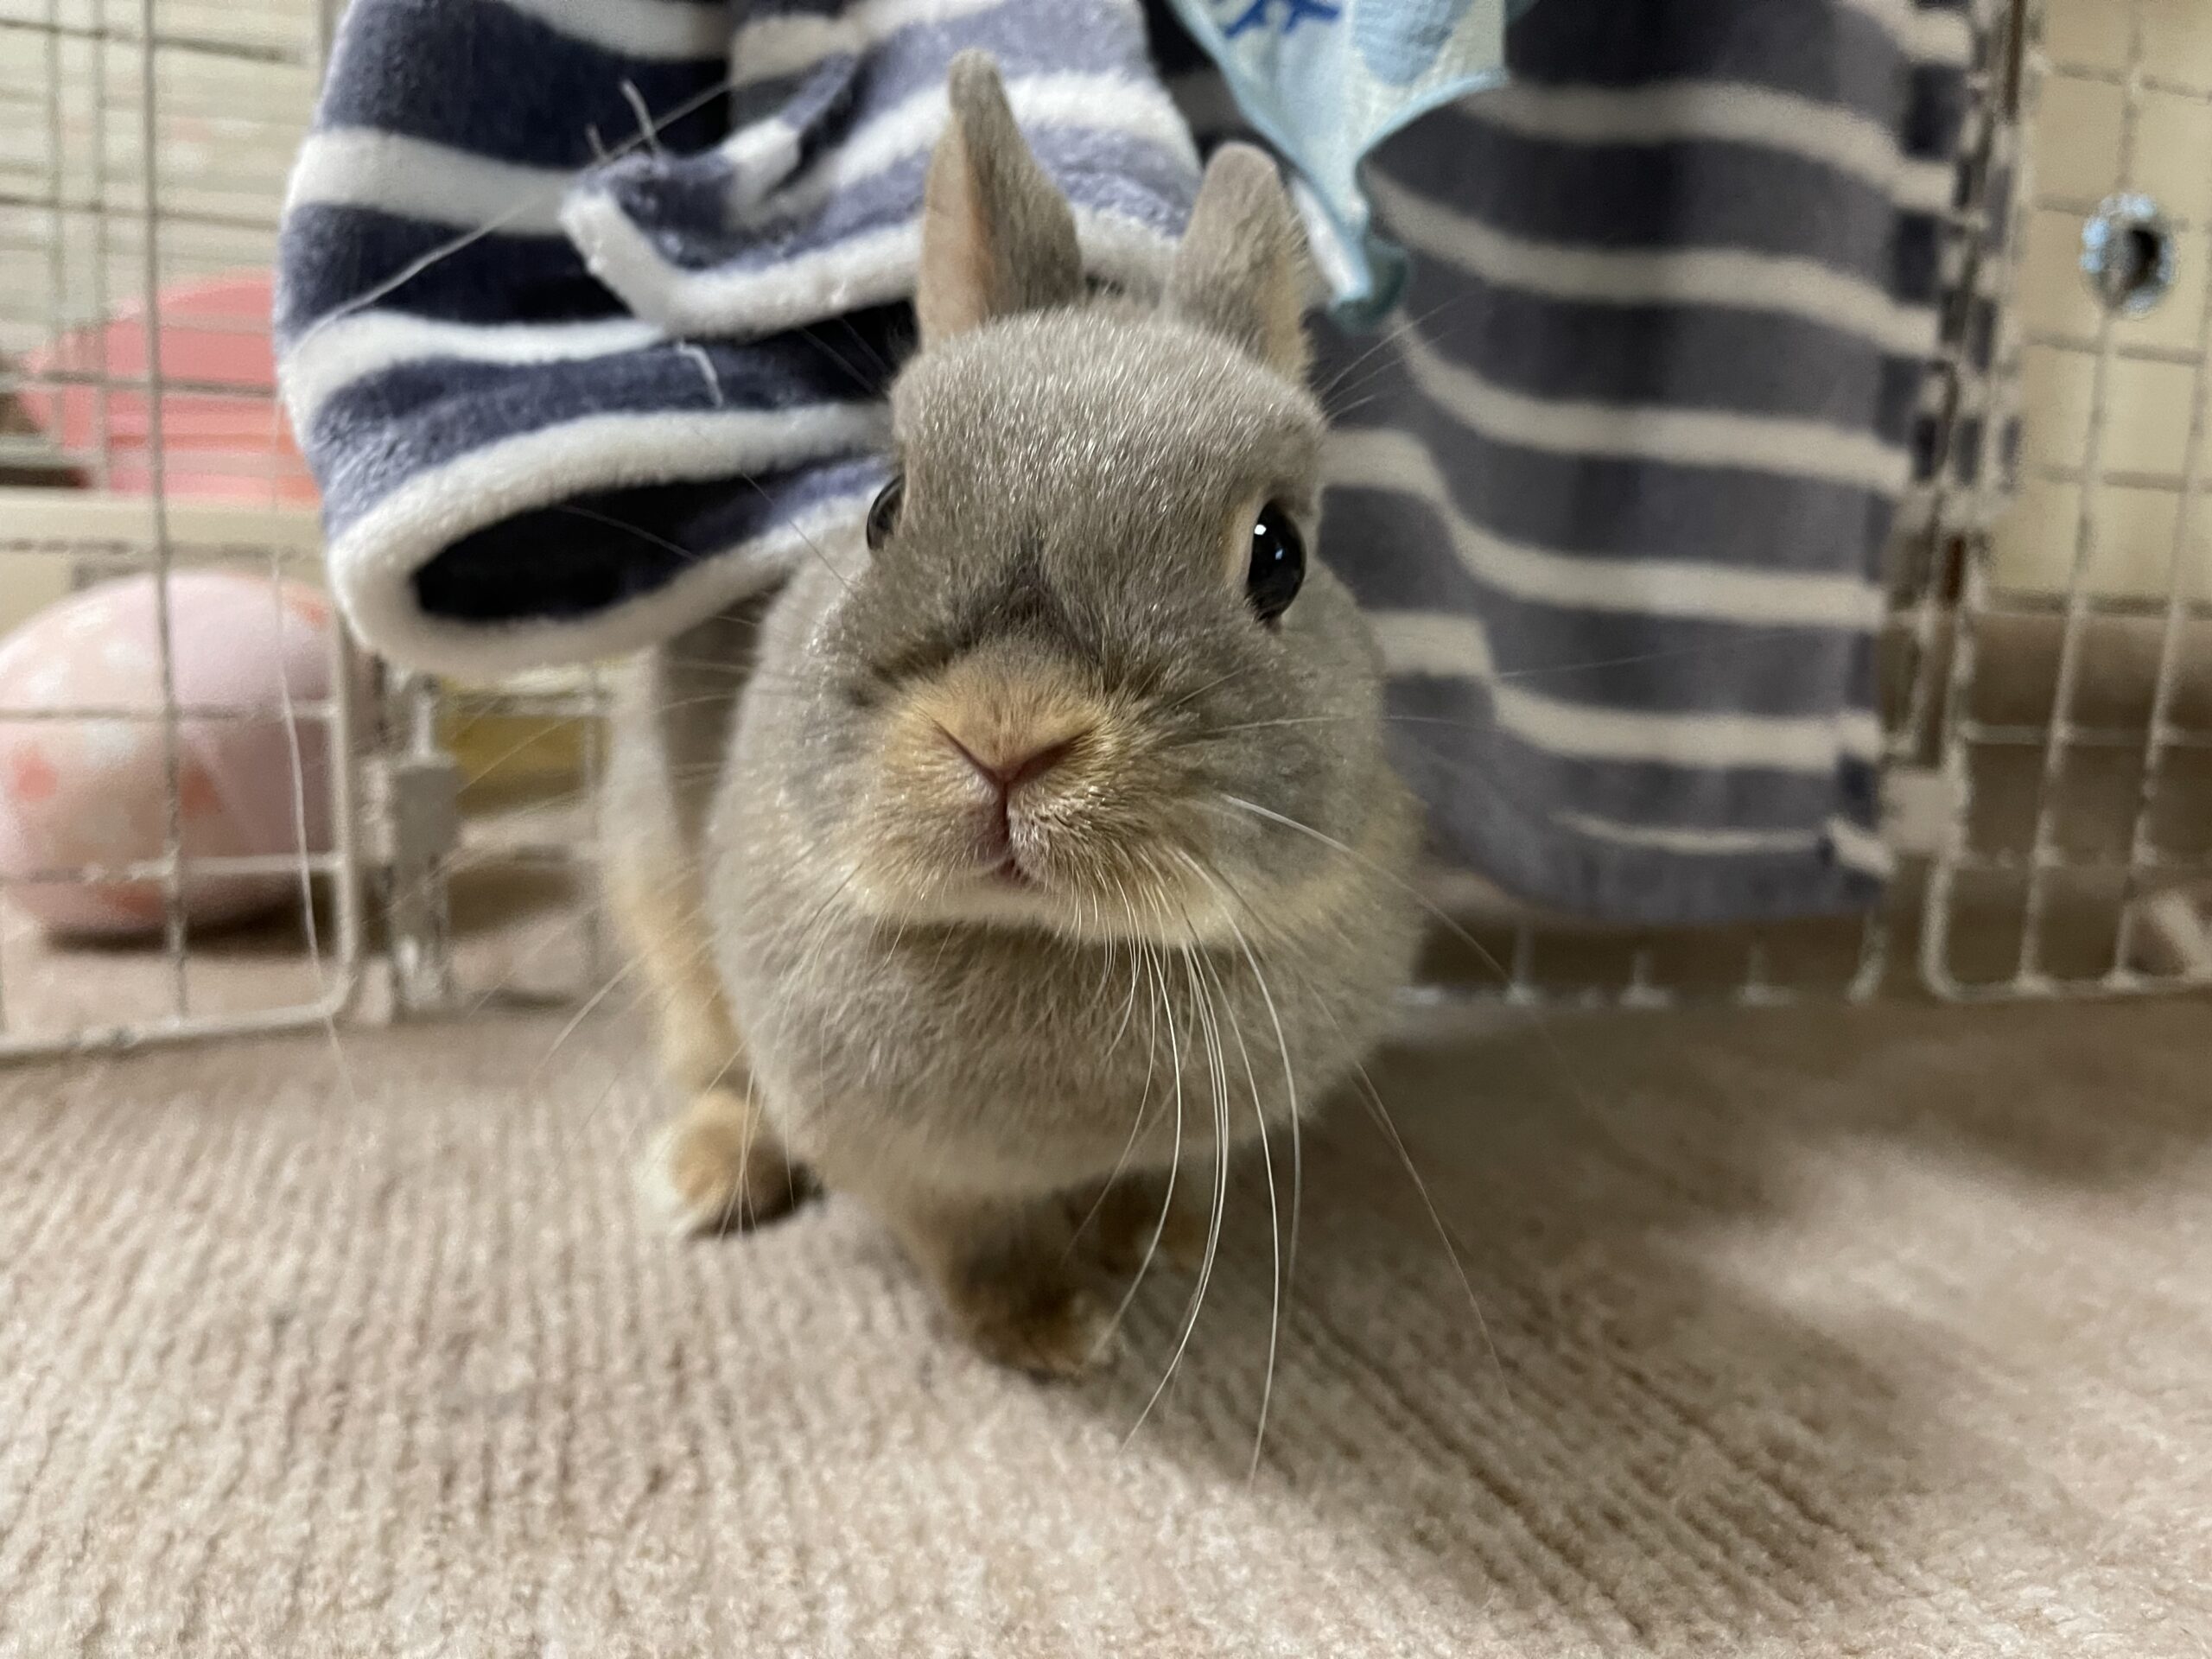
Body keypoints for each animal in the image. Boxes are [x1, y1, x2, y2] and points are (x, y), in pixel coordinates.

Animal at [606, 52, 1424, 1380]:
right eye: (886, 509)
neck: (1045, 939)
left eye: (1278, 556)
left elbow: (1156, 1178)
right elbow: (969, 1241)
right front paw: (1050, 1329)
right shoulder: (905, 1166)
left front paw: (1158, 1238)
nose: (1007, 741)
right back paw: (703, 1177)